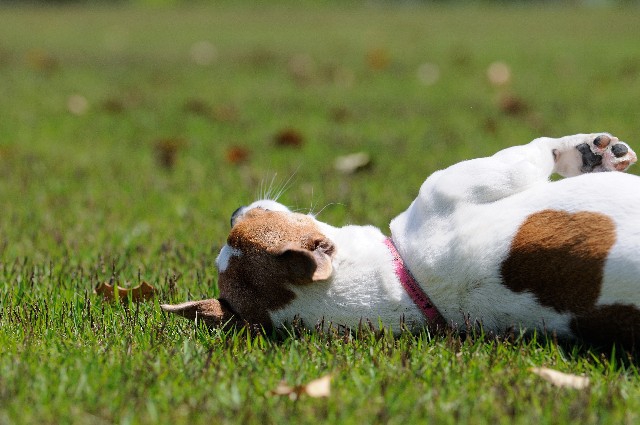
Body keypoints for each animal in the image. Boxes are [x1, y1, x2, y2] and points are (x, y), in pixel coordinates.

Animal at [164, 134, 640, 346]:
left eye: (250, 222)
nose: (234, 210)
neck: (406, 282)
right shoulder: (471, 181)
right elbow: (541, 149)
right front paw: (587, 151)